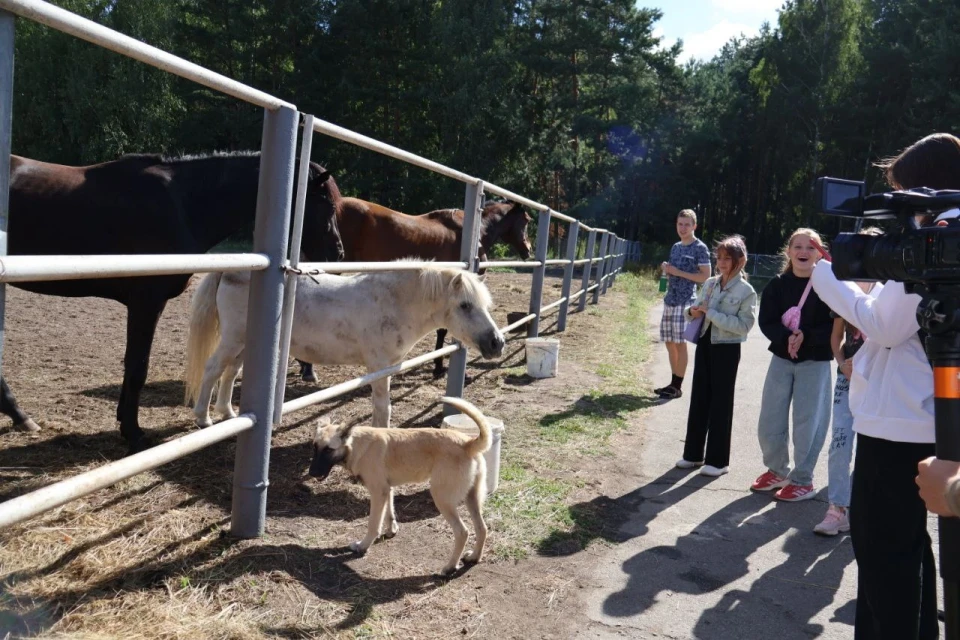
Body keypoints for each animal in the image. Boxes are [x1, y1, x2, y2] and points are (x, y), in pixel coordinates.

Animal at [4, 152, 344, 452]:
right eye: (326, 204)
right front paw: (133, 432)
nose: (338, 252)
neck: (181, 203)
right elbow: (137, 367)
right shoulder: (146, 302)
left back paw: (20, 416)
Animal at [183, 264, 506, 430]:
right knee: (213, 369)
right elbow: (383, 408)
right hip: (232, 339)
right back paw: (204, 418)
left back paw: (228, 414)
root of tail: (231, 271)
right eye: (464, 305)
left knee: (230, 372)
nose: (497, 342)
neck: (393, 302)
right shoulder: (378, 367)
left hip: (243, 344)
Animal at [298, 199, 532, 380]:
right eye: (527, 221)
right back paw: (307, 368)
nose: (528, 250)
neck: (474, 230)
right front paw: (440, 368)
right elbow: (442, 330)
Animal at [312, 396, 492, 576]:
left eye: (328, 450)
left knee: (462, 532)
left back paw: (450, 567)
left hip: (442, 499)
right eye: (314, 447)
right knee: (482, 528)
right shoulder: (387, 490)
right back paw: (474, 557)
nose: (312, 473)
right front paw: (391, 531)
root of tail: (468, 443)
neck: (356, 445)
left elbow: (373, 525)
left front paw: (363, 546)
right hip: (472, 498)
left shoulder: (377, 492)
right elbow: (389, 514)